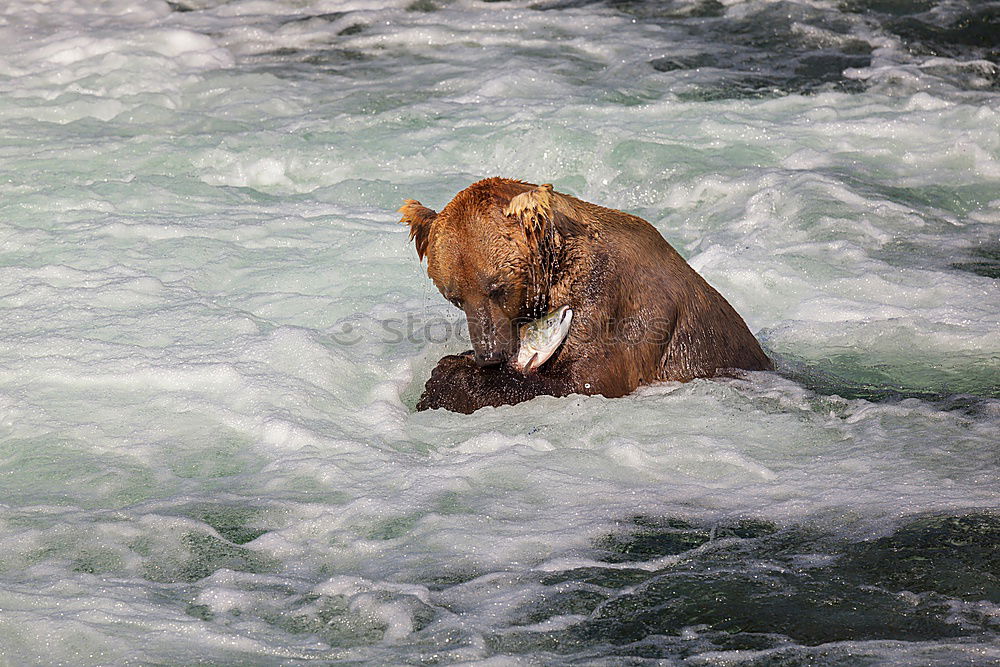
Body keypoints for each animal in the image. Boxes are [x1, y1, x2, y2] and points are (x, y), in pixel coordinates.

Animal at [400, 180, 772, 414]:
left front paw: (446, 378)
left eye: (497, 287)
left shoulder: (613, 299)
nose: (489, 355)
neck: (552, 268)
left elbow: (584, 380)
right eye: (454, 297)